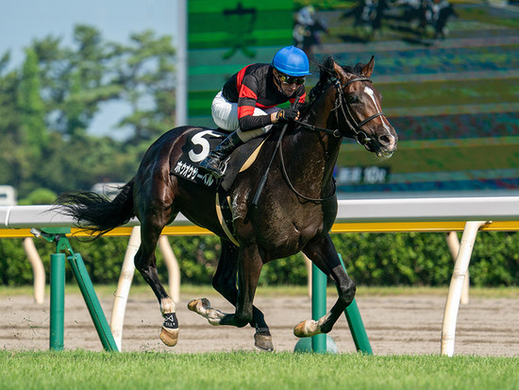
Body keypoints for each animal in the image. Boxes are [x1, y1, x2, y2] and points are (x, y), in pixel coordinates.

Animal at [55, 56, 398, 352]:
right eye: (353, 99)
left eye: (379, 96)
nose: (388, 139)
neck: (297, 177)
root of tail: (158, 144)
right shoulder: (253, 248)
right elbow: (242, 312)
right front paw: (204, 307)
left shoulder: (314, 240)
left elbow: (346, 288)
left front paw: (309, 326)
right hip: (157, 214)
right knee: (145, 262)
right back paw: (171, 320)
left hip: (227, 235)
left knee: (220, 281)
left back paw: (258, 327)